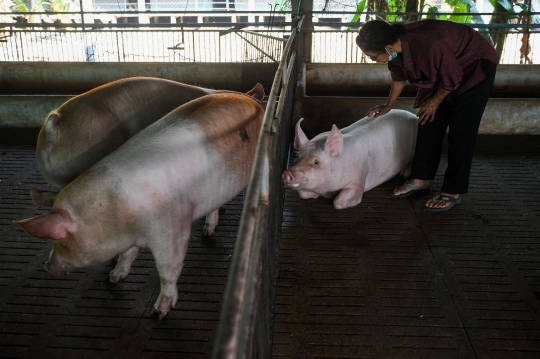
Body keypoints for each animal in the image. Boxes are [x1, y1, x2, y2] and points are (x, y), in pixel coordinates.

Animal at [14, 93, 264, 320]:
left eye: (63, 241)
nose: (47, 266)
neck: (117, 213)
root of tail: (254, 101)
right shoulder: (131, 238)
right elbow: (127, 255)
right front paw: (113, 278)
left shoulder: (173, 230)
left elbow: (168, 269)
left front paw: (159, 312)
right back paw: (207, 233)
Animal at [282, 109, 418, 211]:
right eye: (297, 156)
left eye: (316, 162)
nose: (287, 172)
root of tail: (415, 116)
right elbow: (303, 194)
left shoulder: (358, 180)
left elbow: (338, 202)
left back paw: (405, 175)